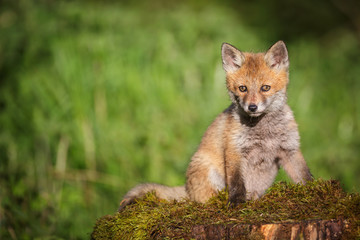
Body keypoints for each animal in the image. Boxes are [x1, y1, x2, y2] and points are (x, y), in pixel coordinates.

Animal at [119, 40, 312, 209]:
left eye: (265, 88)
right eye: (243, 88)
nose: (252, 107)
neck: (264, 131)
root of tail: (188, 190)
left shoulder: (289, 149)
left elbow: (304, 175)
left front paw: (313, 191)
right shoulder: (234, 151)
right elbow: (236, 183)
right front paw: (236, 203)